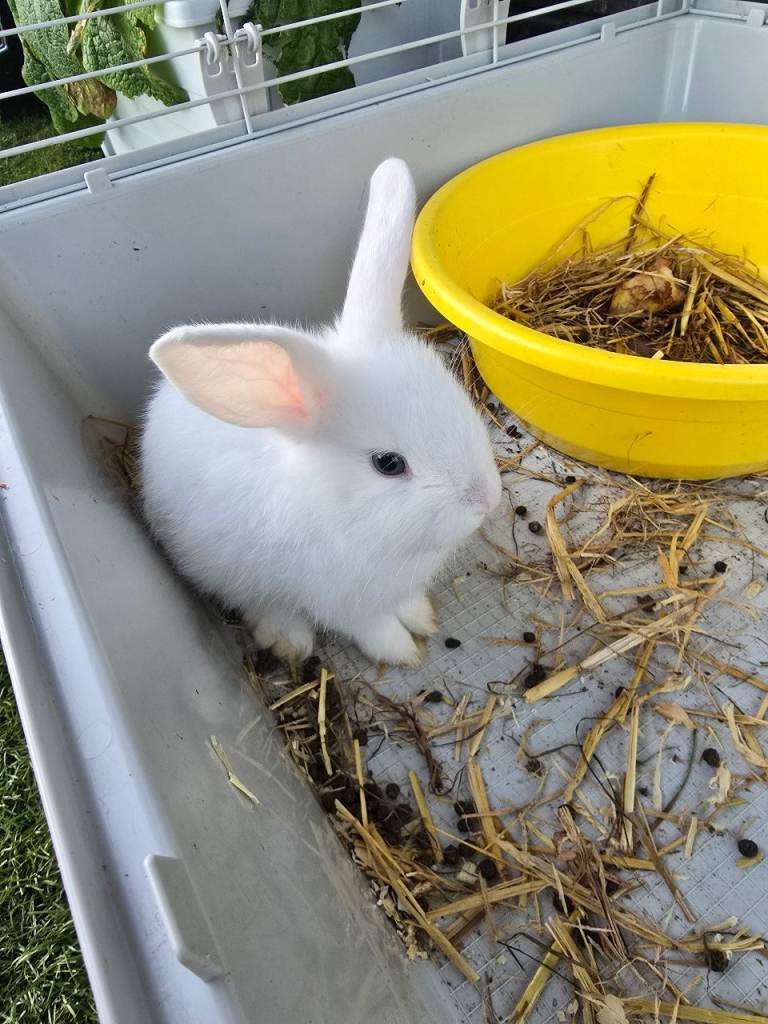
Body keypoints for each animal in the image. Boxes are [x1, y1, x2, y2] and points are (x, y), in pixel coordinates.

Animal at [140, 158, 502, 667]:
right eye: (388, 464)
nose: (486, 501)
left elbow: (404, 605)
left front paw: (422, 617)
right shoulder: (343, 600)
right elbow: (372, 627)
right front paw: (404, 653)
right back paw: (288, 639)